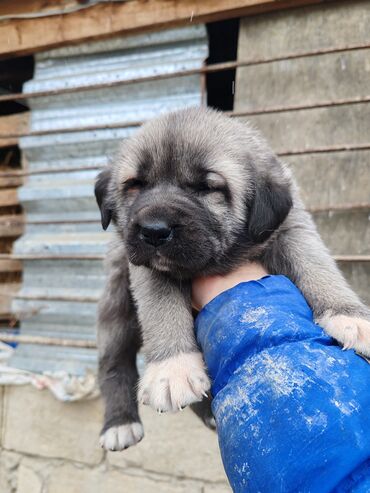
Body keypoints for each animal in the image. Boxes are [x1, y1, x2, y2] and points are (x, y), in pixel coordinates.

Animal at [94, 106, 370, 450]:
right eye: (134, 185)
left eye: (207, 188)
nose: (153, 231)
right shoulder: (146, 267)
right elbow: (162, 305)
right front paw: (172, 366)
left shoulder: (291, 228)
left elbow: (314, 263)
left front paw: (350, 316)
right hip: (116, 305)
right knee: (114, 364)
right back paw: (119, 422)